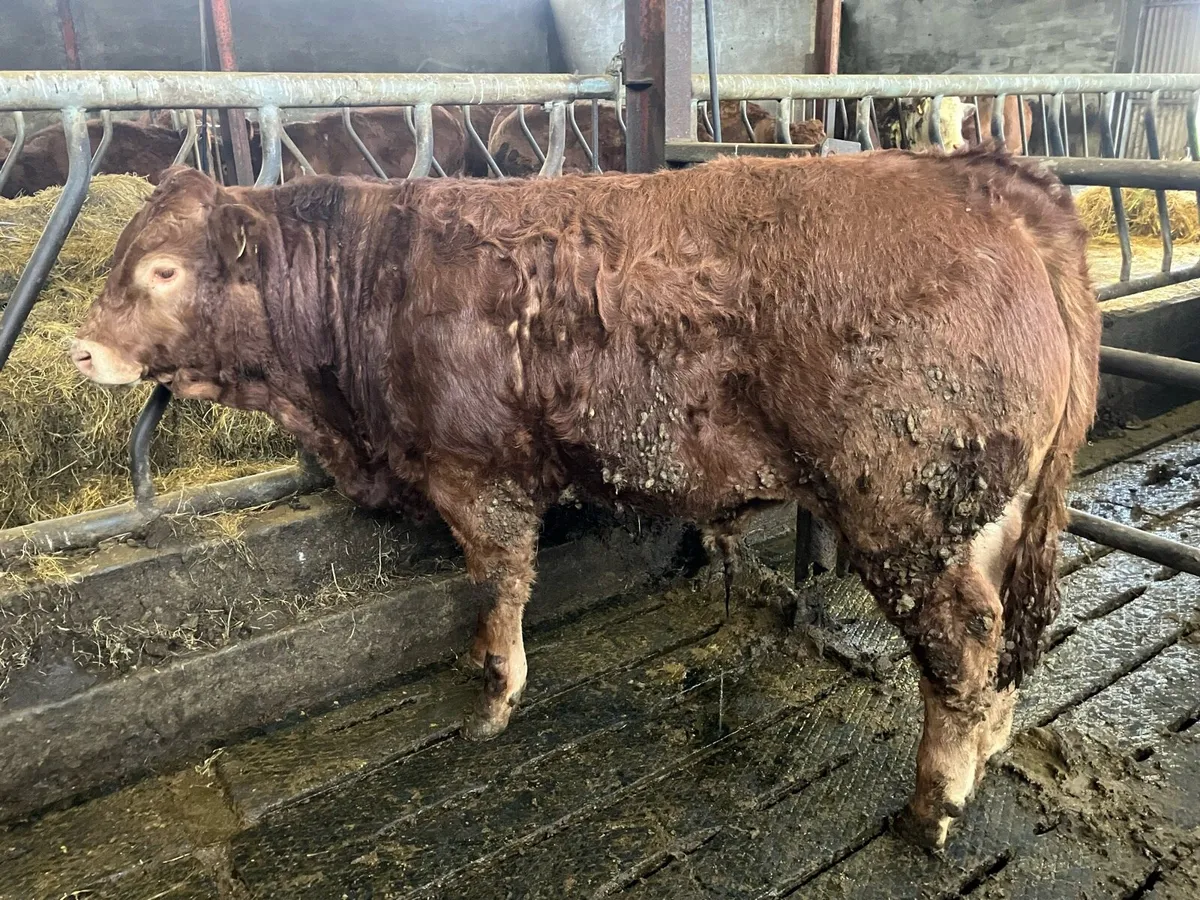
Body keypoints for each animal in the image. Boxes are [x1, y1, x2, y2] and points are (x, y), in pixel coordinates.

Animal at [71, 149, 1100, 850]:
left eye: (163, 270)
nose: (80, 349)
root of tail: (986, 182)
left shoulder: (475, 476)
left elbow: (500, 586)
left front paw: (494, 695)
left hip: (907, 516)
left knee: (962, 647)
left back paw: (933, 806)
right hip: (992, 515)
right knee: (1004, 638)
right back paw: (989, 747)